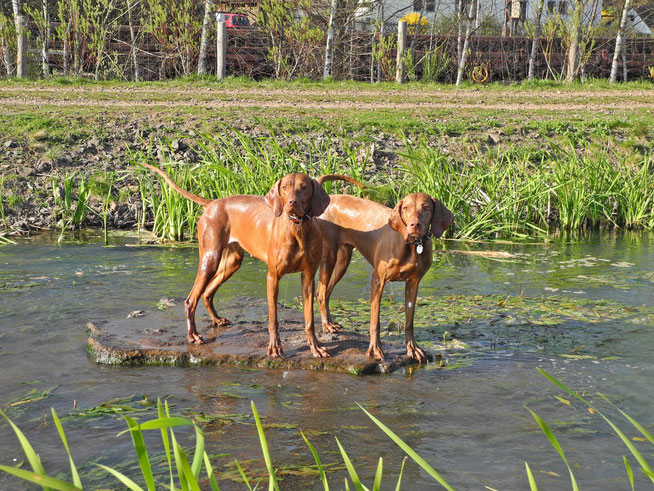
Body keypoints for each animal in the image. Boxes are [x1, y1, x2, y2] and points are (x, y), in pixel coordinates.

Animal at [140, 163, 330, 360]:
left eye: (304, 187)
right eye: (284, 187)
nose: (291, 203)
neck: (297, 228)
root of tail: (213, 203)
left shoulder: (308, 277)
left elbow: (309, 320)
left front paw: (315, 347)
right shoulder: (273, 277)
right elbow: (273, 319)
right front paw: (275, 347)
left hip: (232, 262)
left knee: (207, 292)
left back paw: (216, 320)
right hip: (210, 259)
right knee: (190, 300)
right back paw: (193, 335)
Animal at [316, 176, 452, 362]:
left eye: (426, 207)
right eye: (406, 207)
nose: (414, 225)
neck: (410, 245)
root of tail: (331, 197)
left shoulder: (413, 283)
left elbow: (409, 322)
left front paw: (412, 348)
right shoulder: (378, 281)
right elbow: (375, 321)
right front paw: (375, 349)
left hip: (343, 261)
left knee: (327, 292)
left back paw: (330, 322)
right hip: (329, 258)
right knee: (321, 294)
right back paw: (326, 326)